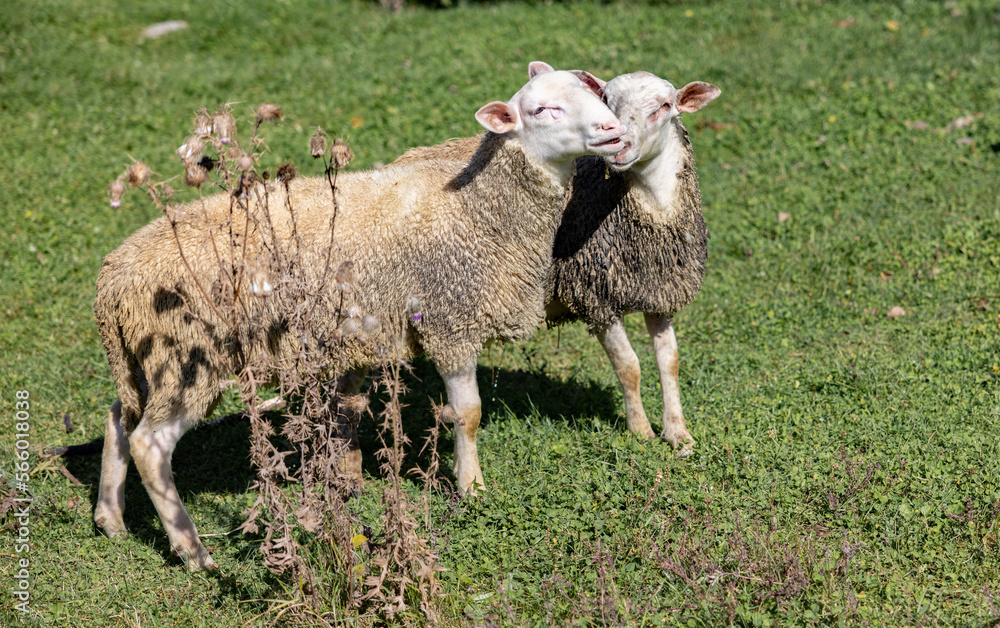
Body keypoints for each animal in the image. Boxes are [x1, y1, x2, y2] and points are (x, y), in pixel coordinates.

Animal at [92, 62, 626, 571]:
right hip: (189, 357)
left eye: (592, 91)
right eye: (542, 111)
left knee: (119, 415)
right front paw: (472, 488)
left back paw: (111, 518)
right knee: (150, 445)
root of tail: (112, 282)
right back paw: (192, 551)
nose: (614, 129)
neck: (476, 207)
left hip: (148, 361)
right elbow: (469, 415)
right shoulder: (449, 319)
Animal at [394, 71, 721, 454]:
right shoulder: (594, 295)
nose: (620, 145)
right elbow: (629, 366)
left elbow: (669, 362)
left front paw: (678, 434)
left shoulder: (659, 291)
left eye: (665, 106)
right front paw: (640, 431)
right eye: (605, 99)